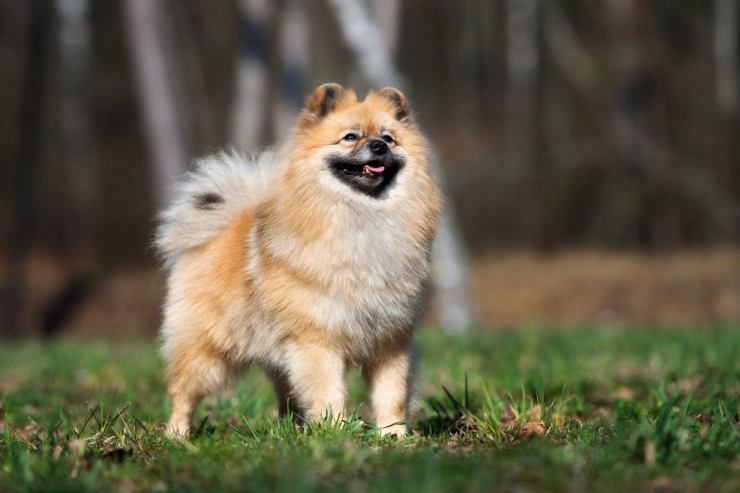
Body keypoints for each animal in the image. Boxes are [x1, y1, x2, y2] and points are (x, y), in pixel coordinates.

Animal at [157, 82, 442, 436]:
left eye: (388, 139)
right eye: (350, 137)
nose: (377, 146)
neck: (363, 217)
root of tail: (220, 229)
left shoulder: (390, 342)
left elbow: (392, 394)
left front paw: (394, 435)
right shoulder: (317, 341)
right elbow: (329, 393)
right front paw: (337, 431)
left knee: (286, 394)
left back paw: (291, 430)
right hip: (206, 353)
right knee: (184, 394)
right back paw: (178, 436)